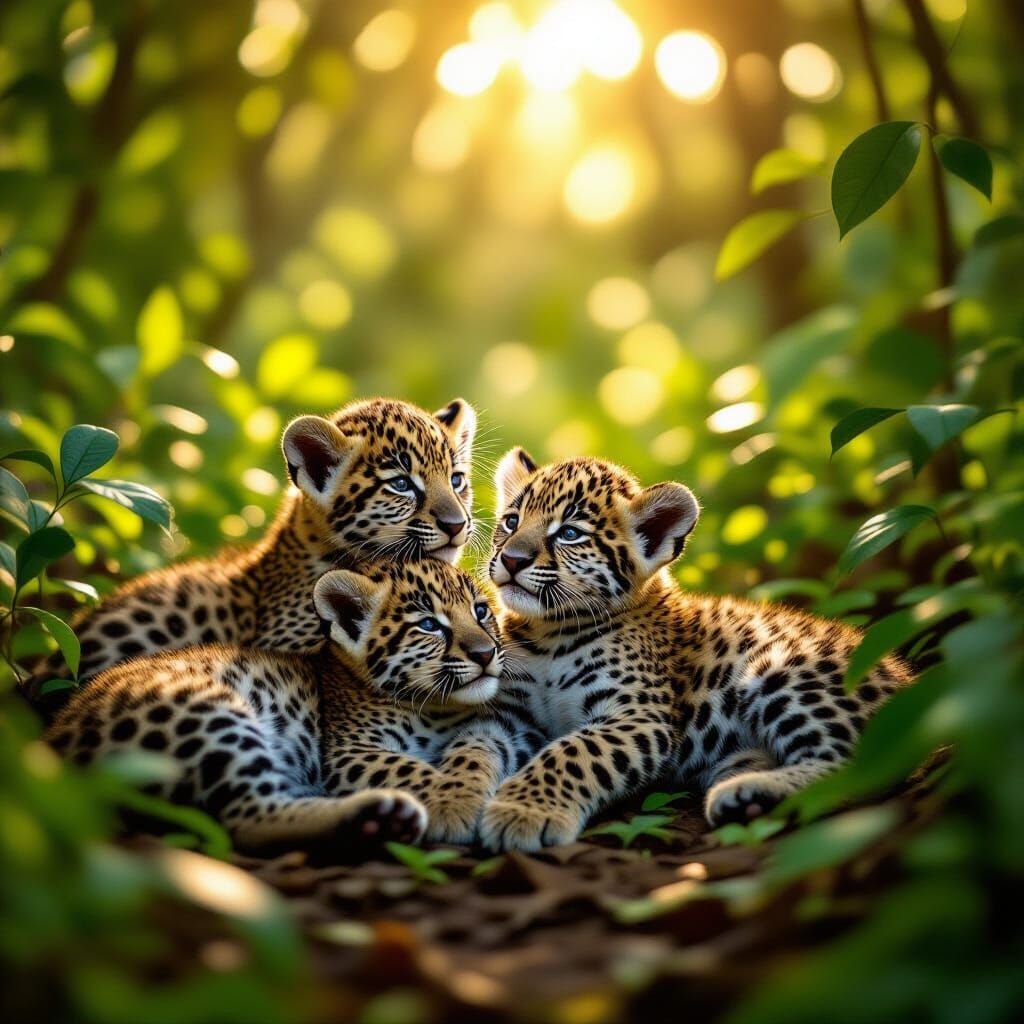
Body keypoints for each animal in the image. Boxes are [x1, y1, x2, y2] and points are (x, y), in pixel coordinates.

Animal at [45, 557, 539, 850]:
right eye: (429, 625)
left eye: (481, 612)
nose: (485, 653)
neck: (437, 708)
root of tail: (56, 738)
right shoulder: (346, 750)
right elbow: (409, 767)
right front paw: (451, 806)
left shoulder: (492, 728)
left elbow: (475, 754)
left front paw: (466, 792)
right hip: (203, 710)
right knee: (247, 817)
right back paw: (376, 814)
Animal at [477, 448, 912, 852]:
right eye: (511, 522)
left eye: (569, 534)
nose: (512, 559)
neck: (548, 634)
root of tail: (904, 677)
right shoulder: (510, 714)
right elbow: (477, 745)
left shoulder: (639, 715)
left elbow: (572, 753)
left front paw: (523, 812)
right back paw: (746, 799)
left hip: (782, 671)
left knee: (862, 772)